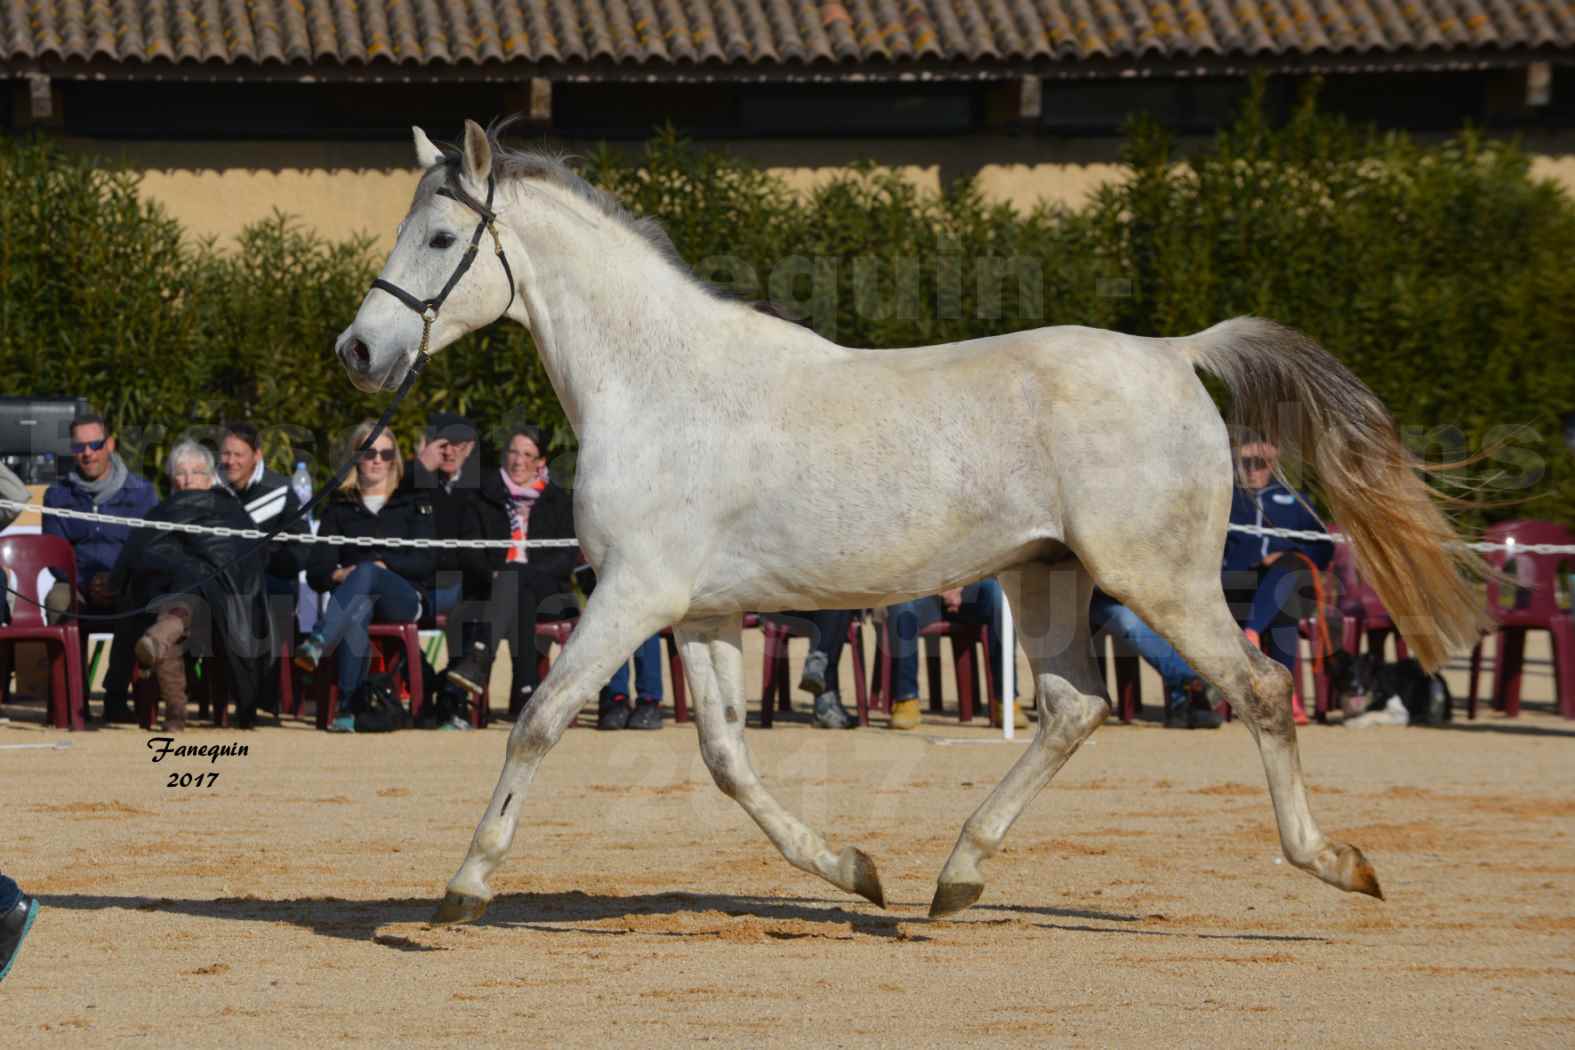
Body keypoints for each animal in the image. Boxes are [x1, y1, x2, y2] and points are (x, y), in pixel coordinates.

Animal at [332, 123, 1486, 925]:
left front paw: (464, 886)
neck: (658, 386)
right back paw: (952, 880)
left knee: (1263, 690)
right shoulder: (699, 614)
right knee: (1076, 708)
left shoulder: (635, 598)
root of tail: (1173, 353)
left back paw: (1336, 863)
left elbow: (537, 719)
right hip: (1044, 577)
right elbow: (726, 757)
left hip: (1157, 582)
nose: (357, 352)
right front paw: (855, 871)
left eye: (443, 236)